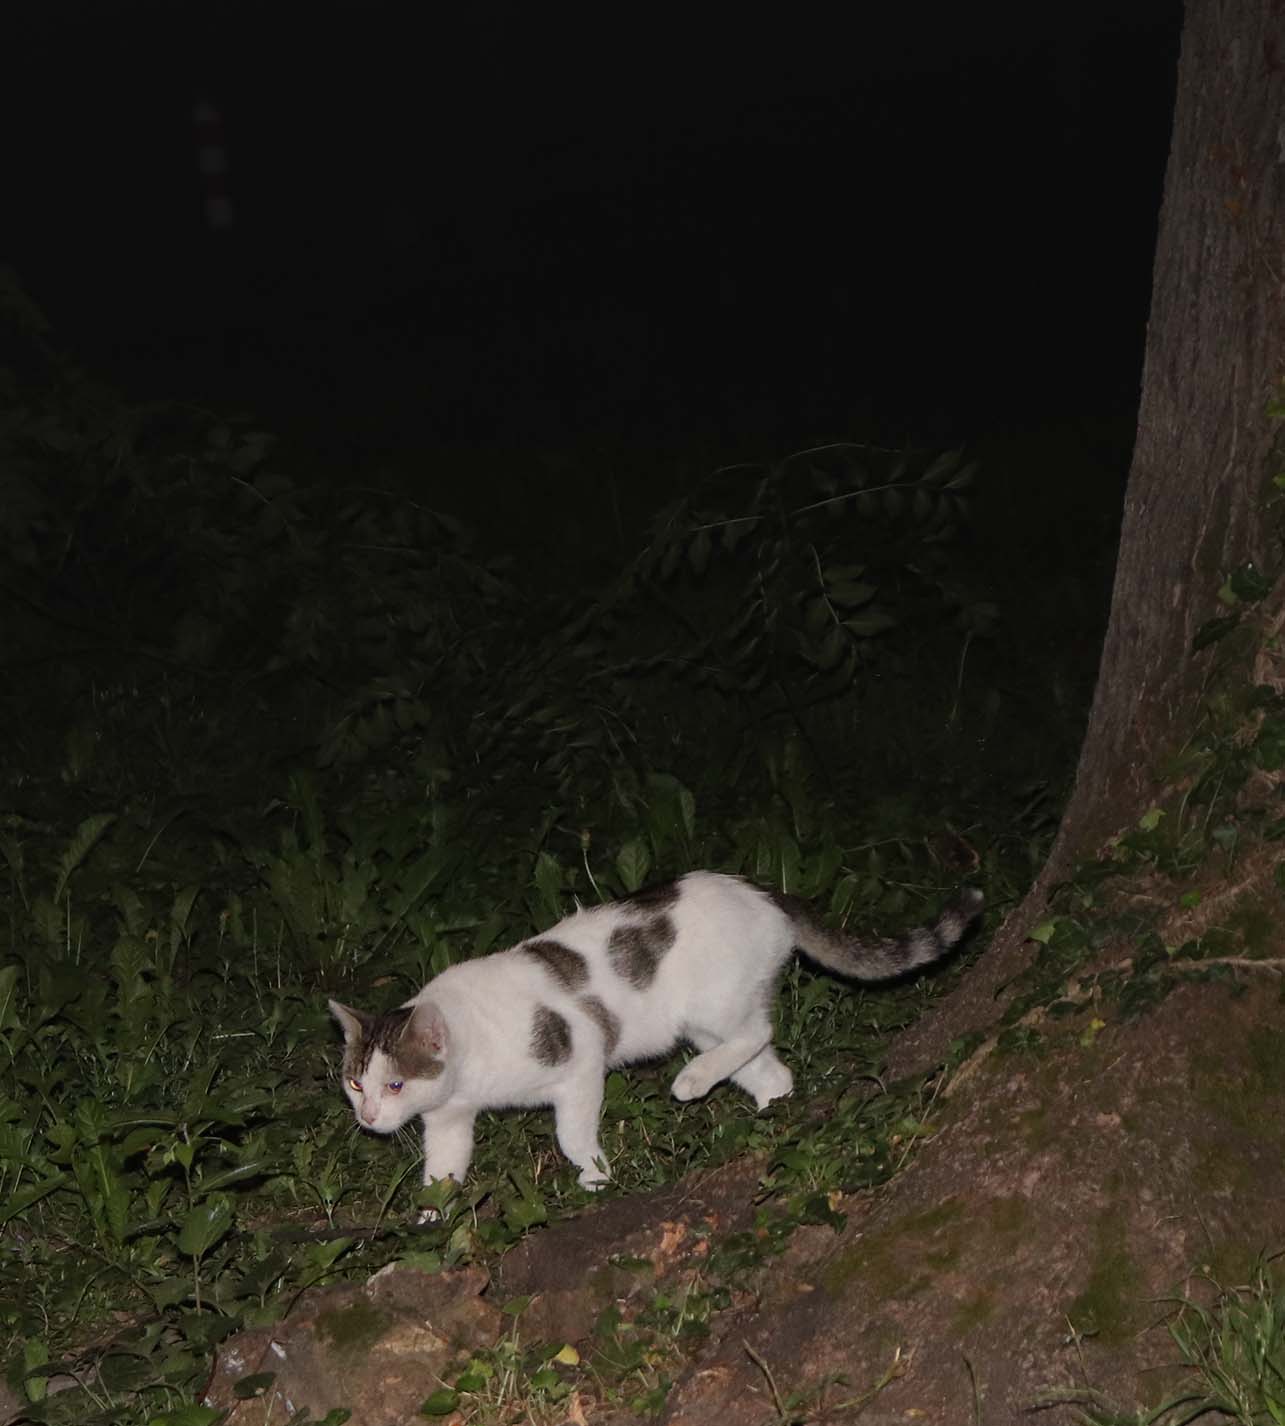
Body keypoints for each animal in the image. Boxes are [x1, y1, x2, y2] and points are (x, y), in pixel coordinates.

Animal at [330, 867, 981, 1192]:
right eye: (357, 1084)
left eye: (395, 1085)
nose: (368, 1119)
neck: (471, 1064)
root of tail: (764, 892)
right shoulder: (449, 1120)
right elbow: (441, 1175)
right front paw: (430, 1228)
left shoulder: (580, 1063)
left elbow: (572, 1136)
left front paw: (596, 1178)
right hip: (719, 1022)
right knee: (772, 1068)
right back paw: (768, 1113)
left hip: (711, 1008)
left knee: (759, 1034)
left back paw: (691, 1082)